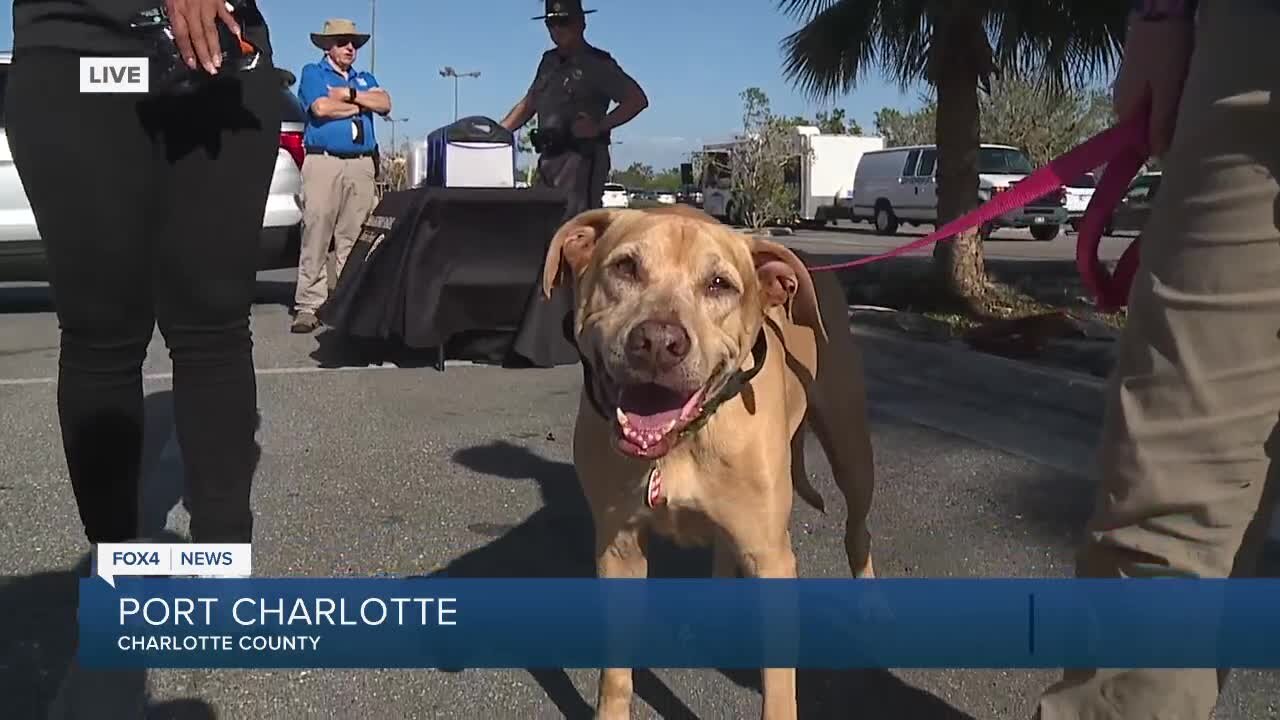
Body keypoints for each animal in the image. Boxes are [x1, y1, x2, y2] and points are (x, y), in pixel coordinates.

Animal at [540, 203, 880, 717]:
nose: (658, 342)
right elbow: (615, 673)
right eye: (625, 267)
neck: (681, 442)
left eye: (720, 284)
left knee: (857, 528)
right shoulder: (619, 548)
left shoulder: (770, 558)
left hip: (851, 450)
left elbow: (779, 688)